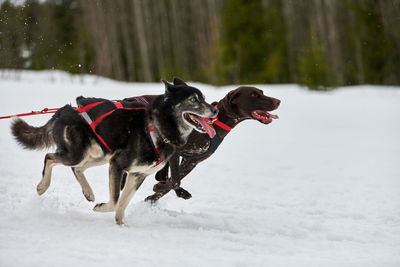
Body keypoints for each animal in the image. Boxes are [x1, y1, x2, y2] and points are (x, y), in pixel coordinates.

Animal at [145, 87, 282, 203]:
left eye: (262, 92)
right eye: (253, 95)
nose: (278, 101)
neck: (214, 123)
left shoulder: (192, 161)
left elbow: (173, 181)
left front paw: (153, 196)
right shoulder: (176, 152)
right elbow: (175, 181)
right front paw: (165, 189)